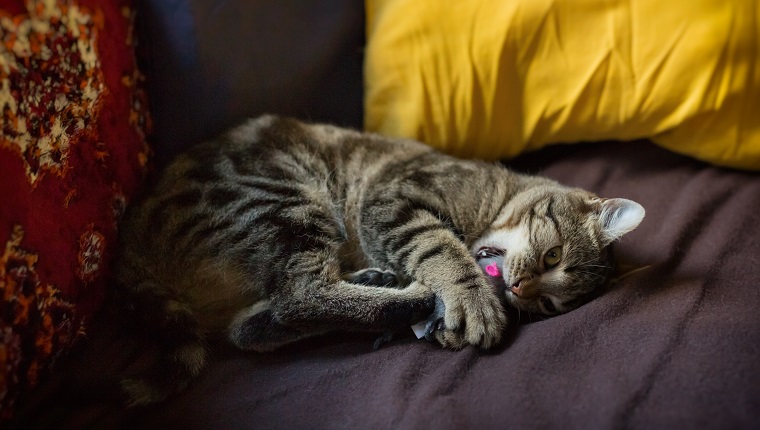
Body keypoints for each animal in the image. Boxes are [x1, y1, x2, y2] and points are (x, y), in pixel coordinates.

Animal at [116, 114, 644, 404]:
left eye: (551, 306)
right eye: (553, 255)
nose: (519, 290)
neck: (495, 198)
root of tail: (133, 237)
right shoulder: (391, 200)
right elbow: (440, 247)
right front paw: (471, 299)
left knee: (255, 326)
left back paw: (381, 283)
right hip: (285, 202)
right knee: (300, 295)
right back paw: (408, 297)